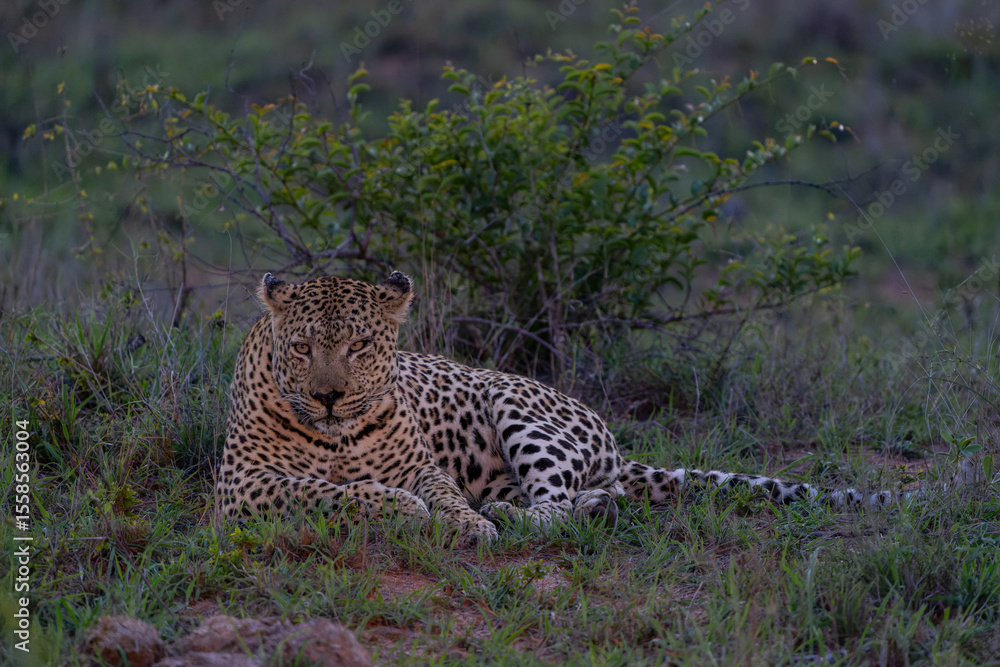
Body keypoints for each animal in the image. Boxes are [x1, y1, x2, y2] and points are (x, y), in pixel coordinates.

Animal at [217, 271, 897, 545]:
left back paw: (511, 516)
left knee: (557, 505)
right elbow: (328, 490)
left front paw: (465, 524)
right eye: (302, 348)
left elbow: (436, 493)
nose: (329, 396)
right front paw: (409, 511)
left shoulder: (419, 465)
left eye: (358, 346)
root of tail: (608, 433)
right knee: (585, 500)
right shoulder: (243, 484)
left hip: (516, 407)